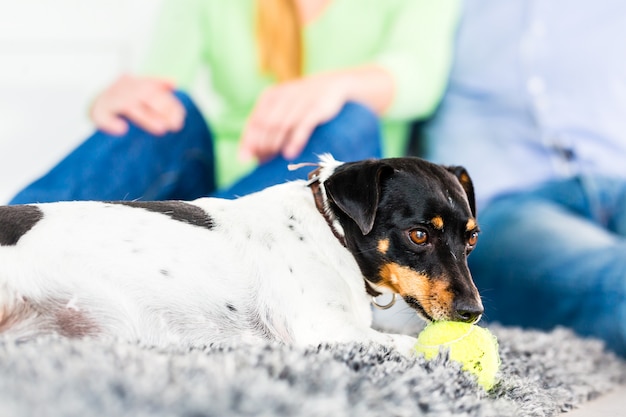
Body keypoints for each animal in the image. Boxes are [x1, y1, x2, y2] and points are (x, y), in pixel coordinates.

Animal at [0, 156, 482, 354]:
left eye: (472, 239)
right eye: (419, 235)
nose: (474, 313)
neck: (332, 233)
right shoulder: (325, 329)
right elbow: (414, 344)